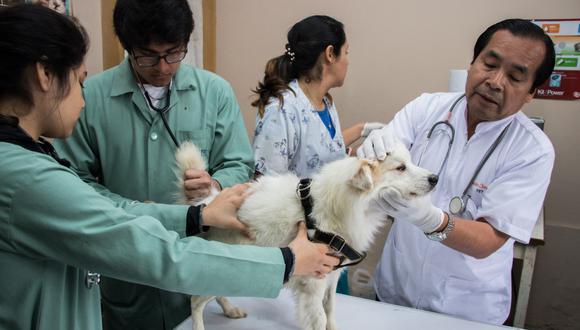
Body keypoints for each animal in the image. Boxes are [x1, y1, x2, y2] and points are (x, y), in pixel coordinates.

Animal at [174, 141, 438, 330]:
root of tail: (207, 202)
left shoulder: (332, 276)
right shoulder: (314, 281)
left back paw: (230, 309)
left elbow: (330, 309)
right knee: (196, 300)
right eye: (400, 168)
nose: (435, 178)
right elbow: (319, 318)